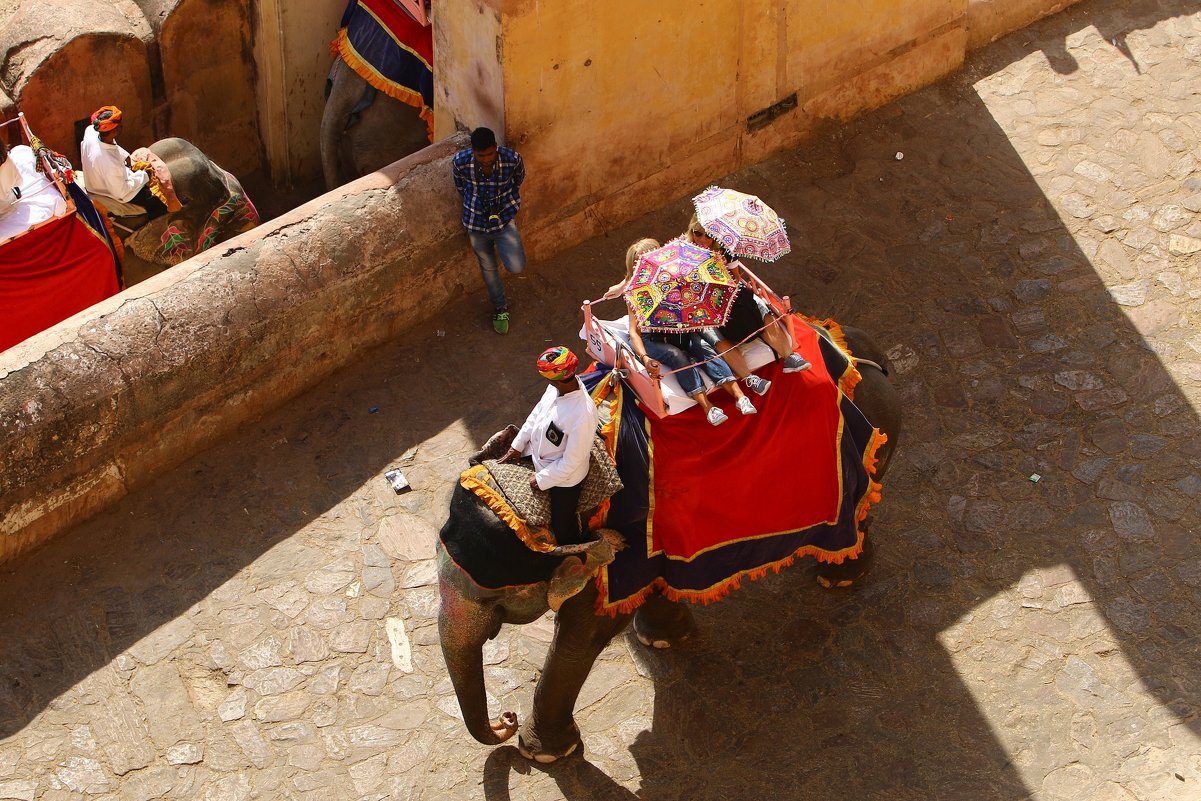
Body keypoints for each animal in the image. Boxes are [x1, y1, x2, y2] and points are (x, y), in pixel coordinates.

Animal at [434, 324, 903, 758]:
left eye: (492, 600)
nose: (505, 719)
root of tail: (860, 353)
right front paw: (660, 640)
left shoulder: (618, 535)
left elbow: (587, 630)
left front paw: (546, 754)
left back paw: (840, 578)